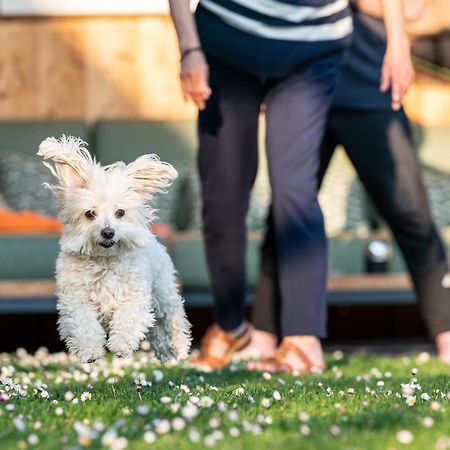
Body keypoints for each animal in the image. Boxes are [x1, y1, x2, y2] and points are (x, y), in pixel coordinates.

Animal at [37, 135, 191, 364]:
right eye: (90, 213)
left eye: (120, 212)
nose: (108, 232)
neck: (105, 260)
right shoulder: (76, 299)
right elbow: (84, 323)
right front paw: (90, 350)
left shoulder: (135, 296)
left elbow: (129, 317)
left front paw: (120, 344)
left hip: (164, 293)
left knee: (170, 320)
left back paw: (177, 348)